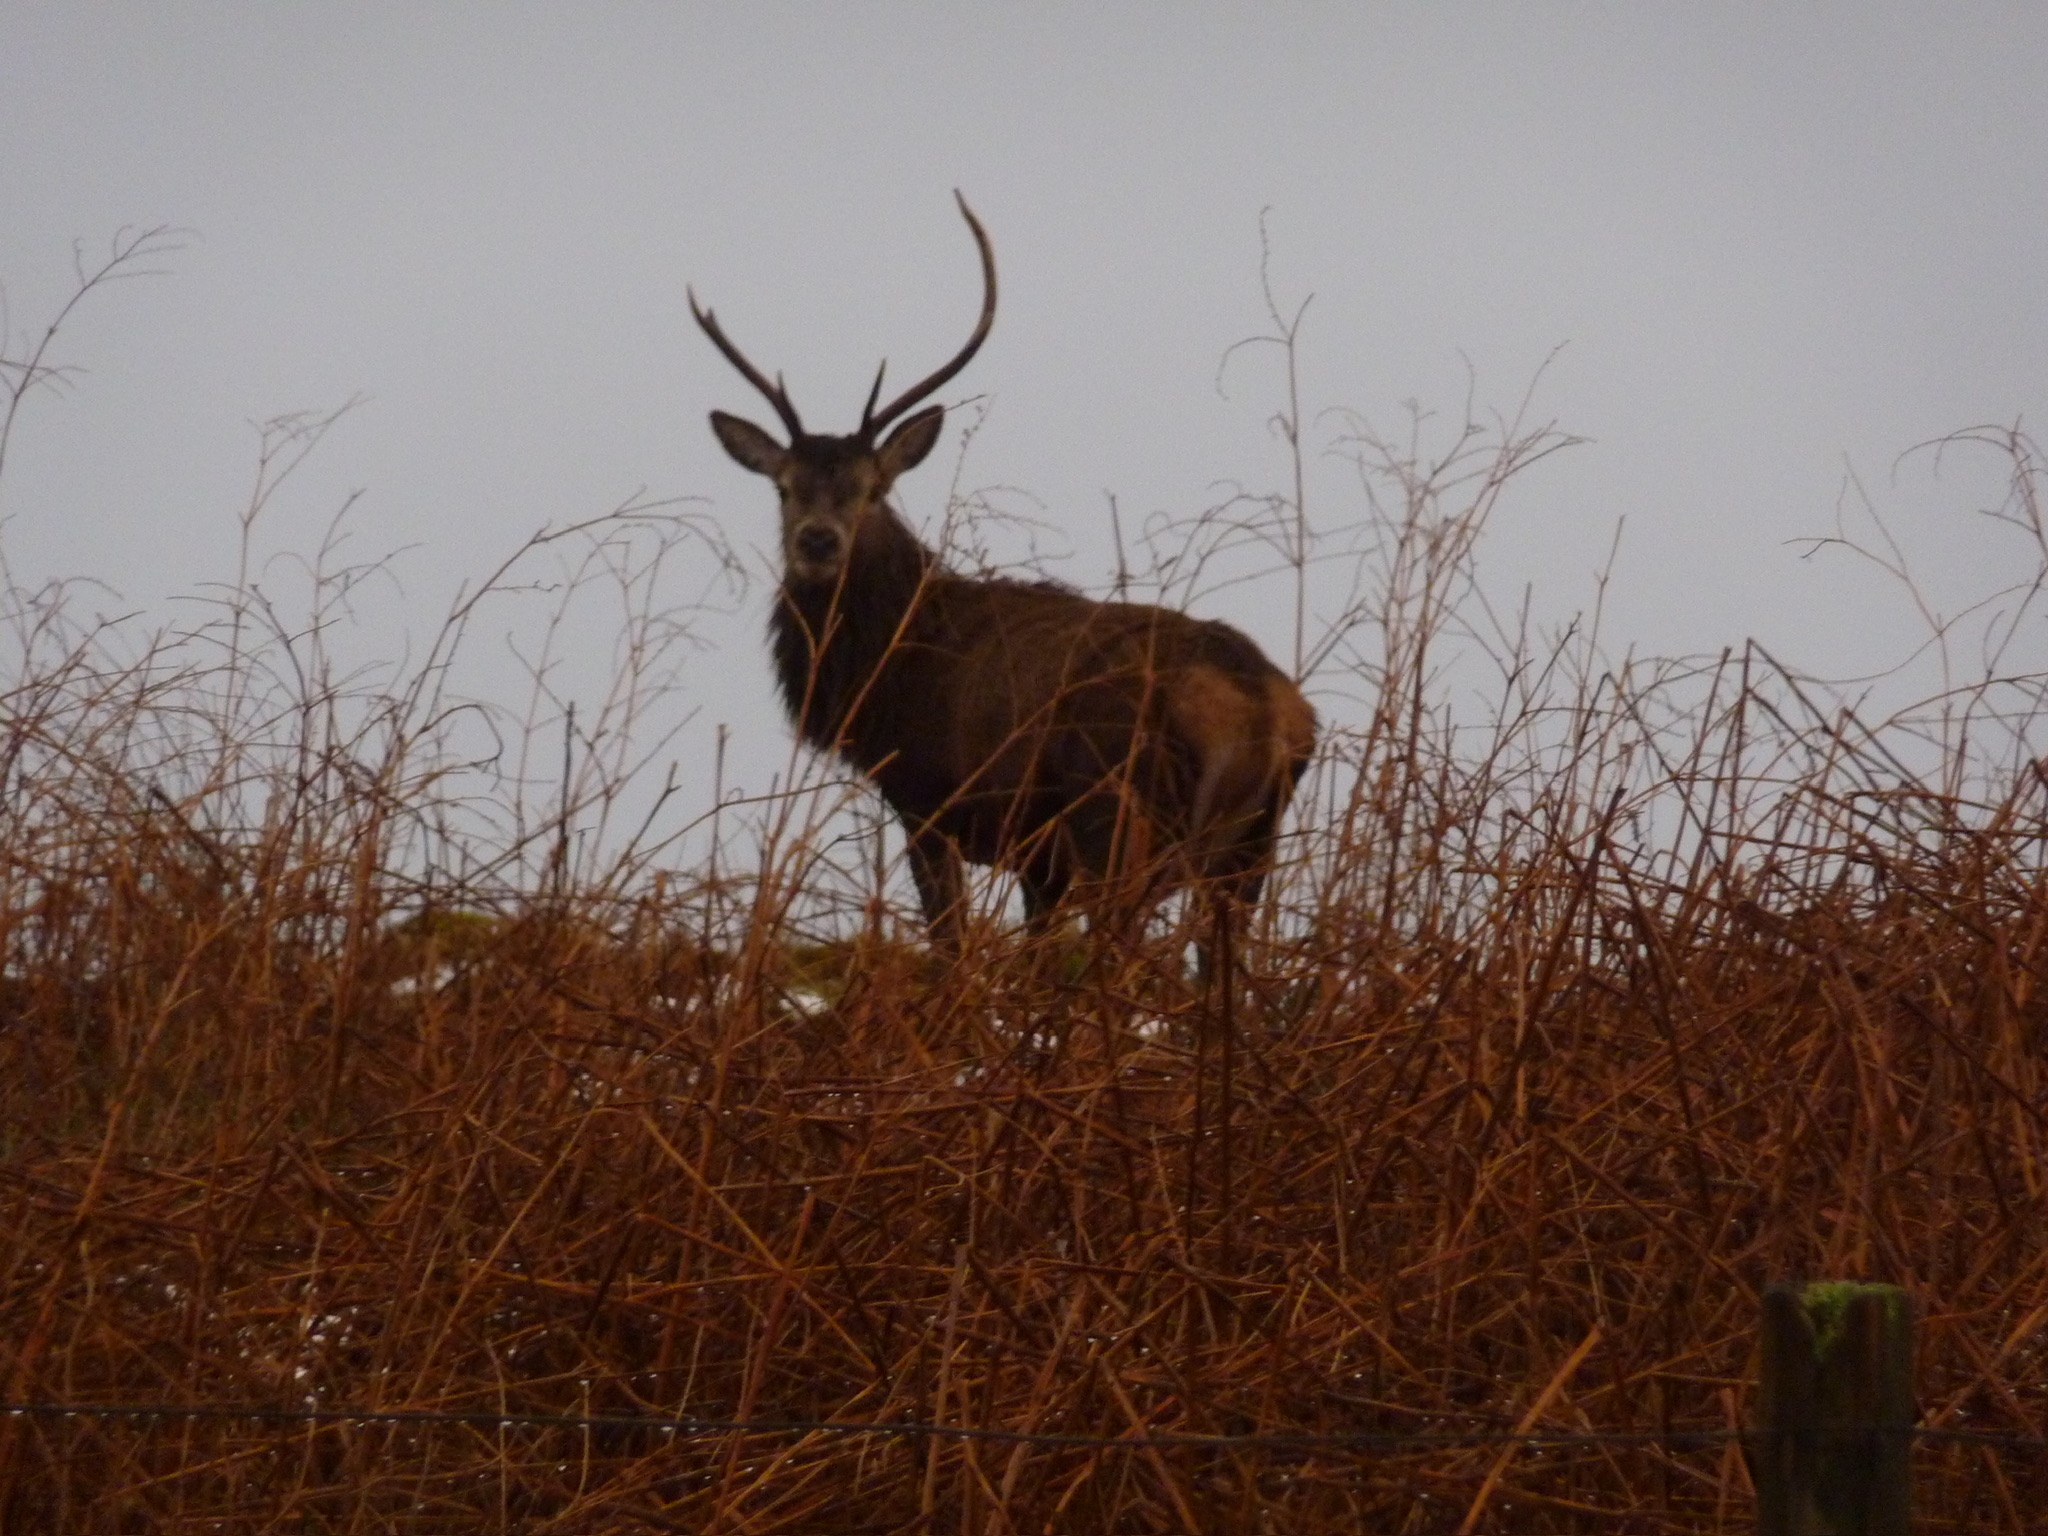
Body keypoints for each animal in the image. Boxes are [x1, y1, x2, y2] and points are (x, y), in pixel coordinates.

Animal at [690, 194, 1316, 969]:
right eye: (784, 488)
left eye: (872, 490)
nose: (817, 540)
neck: (883, 666)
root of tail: (1267, 713)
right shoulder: (1034, 854)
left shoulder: (928, 797)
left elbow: (950, 942)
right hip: (1252, 848)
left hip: (1118, 814)